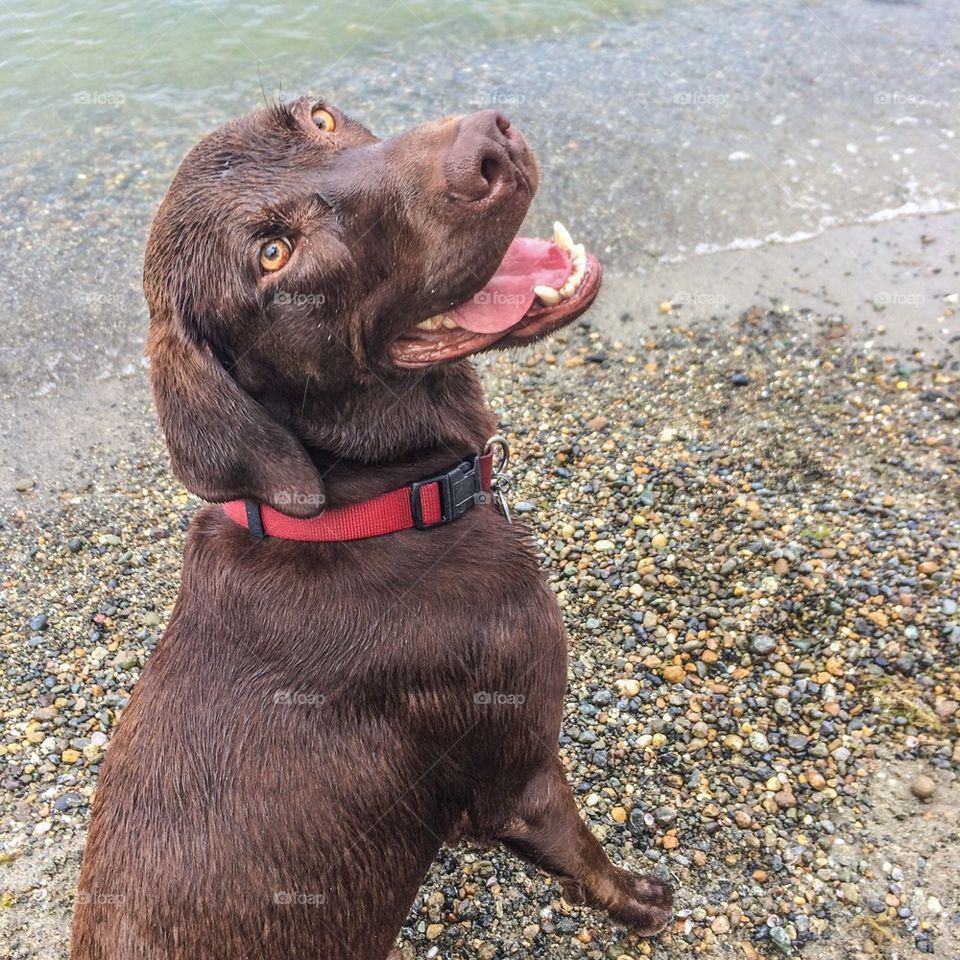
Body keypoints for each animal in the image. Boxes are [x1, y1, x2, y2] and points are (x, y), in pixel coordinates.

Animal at [71, 99, 672, 960]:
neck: (368, 509)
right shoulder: (521, 775)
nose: (487, 145)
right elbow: (586, 858)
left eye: (319, 118)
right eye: (275, 254)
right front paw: (640, 902)